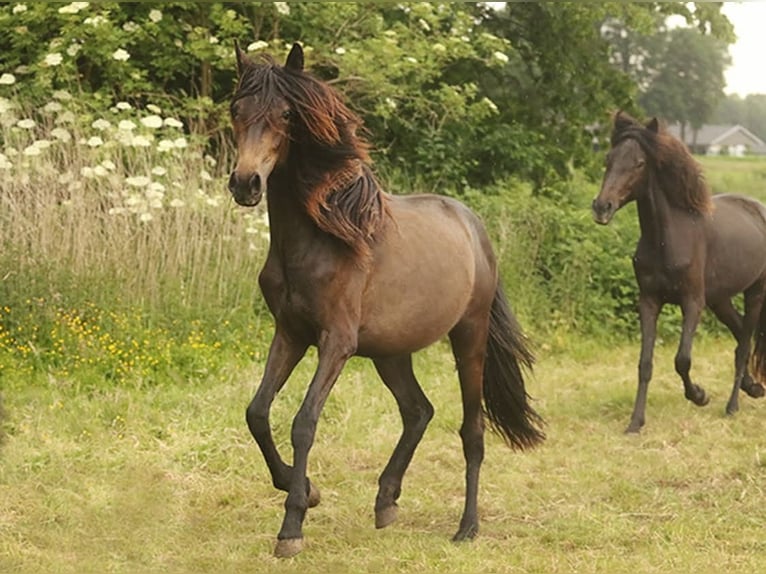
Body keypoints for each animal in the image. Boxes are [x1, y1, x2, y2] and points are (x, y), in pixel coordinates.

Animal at [227, 42, 545, 557]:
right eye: (236, 109)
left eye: (287, 114)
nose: (246, 183)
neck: (320, 239)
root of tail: (473, 226)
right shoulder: (291, 335)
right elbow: (257, 413)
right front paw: (308, 491)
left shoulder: (335, 343)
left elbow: (304, 422)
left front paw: (292, 524)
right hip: (391, 353)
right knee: (418, 412)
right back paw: (386, 501)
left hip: (469, 337)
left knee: (471, 431)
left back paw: (467, 527)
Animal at [592, 111, 766, 433]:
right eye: (608, 158)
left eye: (639, 163)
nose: (601, 207)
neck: (667, 238)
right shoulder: (649, 301)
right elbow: (645, 364)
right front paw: (635, 423)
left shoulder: (692, 302)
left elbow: (682, 359)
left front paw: (699, 395)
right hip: (720, 300)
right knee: (739, 335)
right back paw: (753, 387)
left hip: (755, 292)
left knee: (744, 344)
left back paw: (732, 405)